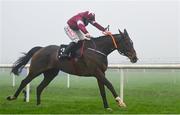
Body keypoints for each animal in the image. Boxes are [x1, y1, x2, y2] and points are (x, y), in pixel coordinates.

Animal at [6, 29, 137, 110]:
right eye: (127, 42)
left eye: (132, 42)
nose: (135, 58)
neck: (98, 50)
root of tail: (40, 49)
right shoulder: (97, 72)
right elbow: (110, 85)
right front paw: (120, 102)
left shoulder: (101, 73)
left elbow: (102, 91)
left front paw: (107, 107)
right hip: (36, 70)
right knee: (24, 81)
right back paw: (12, 97)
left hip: (51, 74)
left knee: (39, 87)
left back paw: (38, 105)